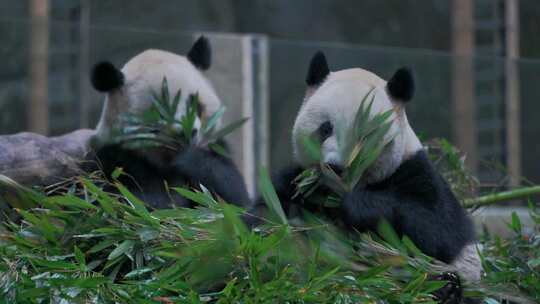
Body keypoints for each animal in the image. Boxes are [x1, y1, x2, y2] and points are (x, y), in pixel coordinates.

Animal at [87, 36, 251, 209]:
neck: (166, 160)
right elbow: (123, 199)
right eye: (160, 111)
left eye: (193, 104)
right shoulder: (114, 160)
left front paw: (191, 160)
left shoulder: (217, 149)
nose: (186, 133)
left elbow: (232, 195)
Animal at [245, 51, 480, 300]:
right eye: (326, 128)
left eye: (364, 136)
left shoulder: (416, 171)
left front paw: (355, 206)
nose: (336, 167)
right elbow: (264, 217)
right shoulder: (296, 181)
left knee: (439, 281)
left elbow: (437, 228)